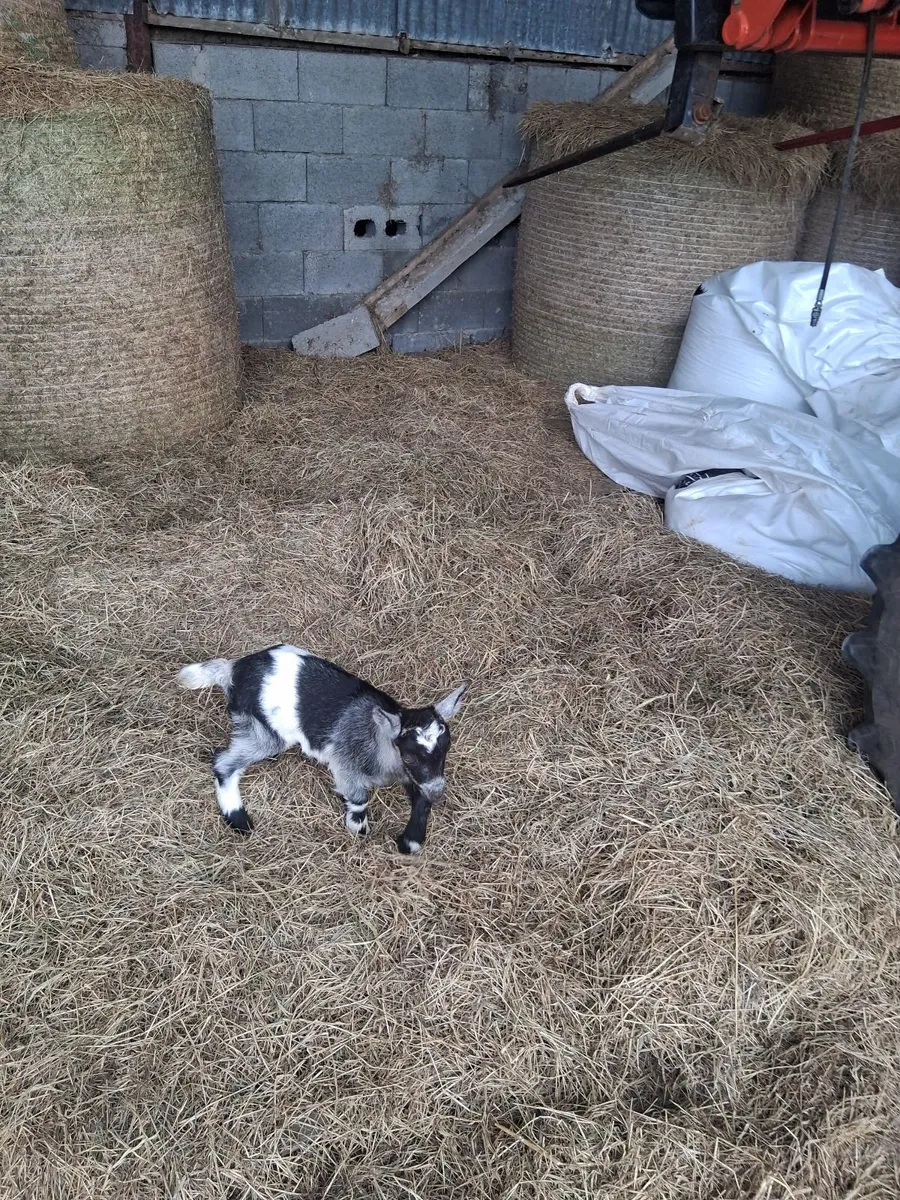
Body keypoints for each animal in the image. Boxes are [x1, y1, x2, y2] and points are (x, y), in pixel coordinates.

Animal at [178, 645, 468, 854]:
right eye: (408, 755)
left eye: (446, 749)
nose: (439, 793)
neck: (381, 743)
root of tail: (233, 669)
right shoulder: (345, 762)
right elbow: (359, 798)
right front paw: (358, 827)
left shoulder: (415, 776)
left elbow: (420, 798)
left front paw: (410, 842)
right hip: (265, 731)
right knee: (224, 762)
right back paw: (239, 819)